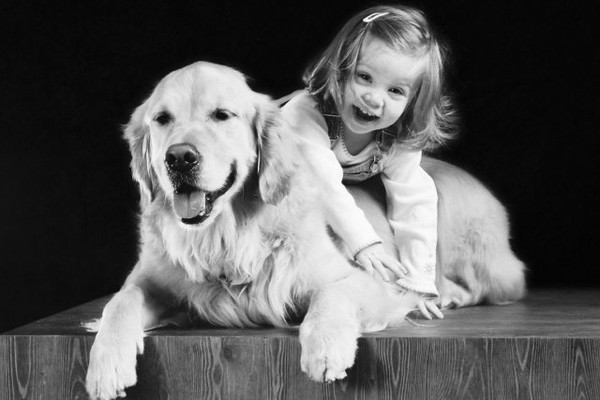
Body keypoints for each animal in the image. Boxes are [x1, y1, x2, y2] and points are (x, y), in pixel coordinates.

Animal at [84, 61, 524, 398]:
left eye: (222, 115)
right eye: (161, 119)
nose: (178, 158)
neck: (226, 237)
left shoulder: (366, 280)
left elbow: (332, 293)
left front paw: (326, 349)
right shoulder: (150, 280)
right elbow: (118, 303)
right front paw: (105, 365)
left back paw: (440, 295)